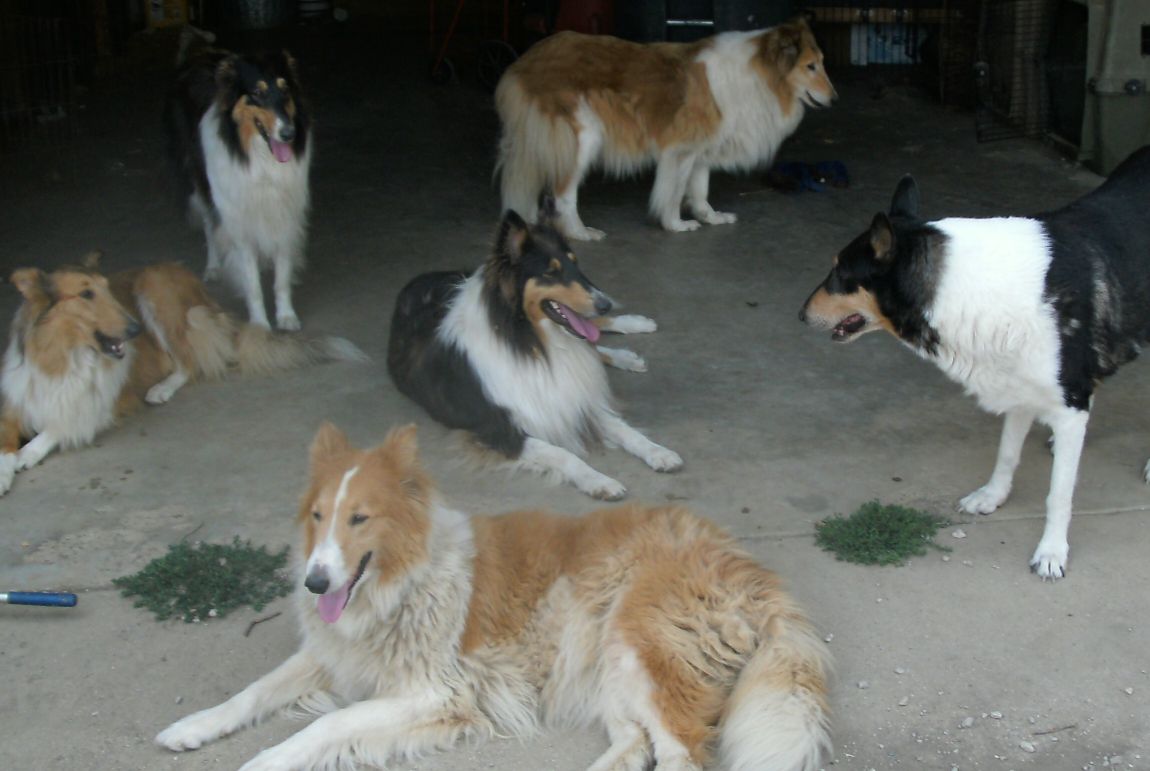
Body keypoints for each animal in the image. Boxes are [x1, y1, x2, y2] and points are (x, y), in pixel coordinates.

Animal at [805, 146, 1150, 579]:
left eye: (840, 271)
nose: (800, 314)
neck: (963, 285)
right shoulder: (1020, 386)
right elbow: (1007, 453)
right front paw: (991, 496)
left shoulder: (1064, 397)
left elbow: (1058, 495)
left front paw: (1052, 551)